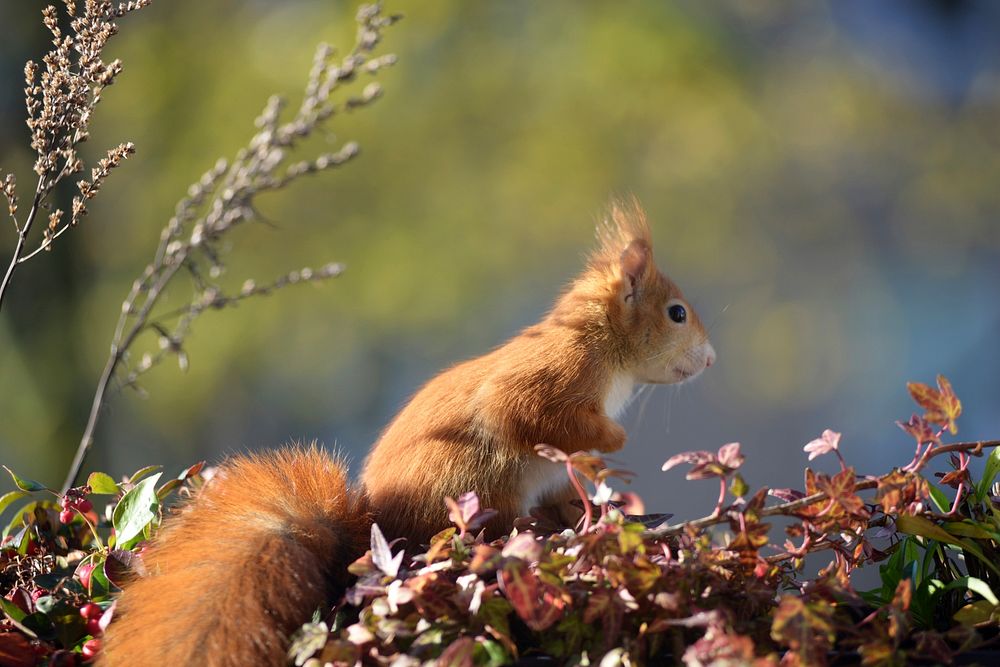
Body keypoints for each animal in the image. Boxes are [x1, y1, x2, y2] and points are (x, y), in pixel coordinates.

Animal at [99, 201, 712, 667]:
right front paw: (615, 441)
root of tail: (374, 532)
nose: (710, 360)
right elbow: (524, 413)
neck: (605, 348)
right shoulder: (553, 376)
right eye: (677, 313)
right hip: (474, 487)